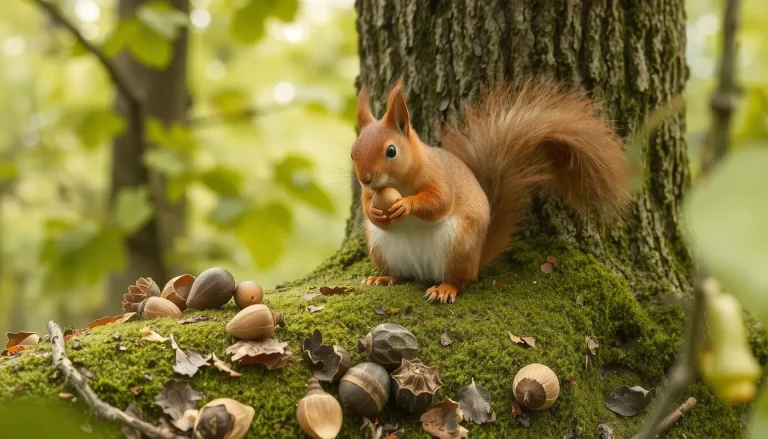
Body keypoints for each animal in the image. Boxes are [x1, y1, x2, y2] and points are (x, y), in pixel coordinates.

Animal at [350, 78, 632, 304]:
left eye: (391, 151)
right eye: (352, 152)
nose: (365, 178)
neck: (399, 182)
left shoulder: (440, 178)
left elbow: (439, 202)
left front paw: (405, 205)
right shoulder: (369, 194)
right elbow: (367, 205)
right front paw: (374, 212)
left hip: (459, 244)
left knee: (460, 279)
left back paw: (444, 288)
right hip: (382, 248)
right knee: (402, 274)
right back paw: (383, 279)